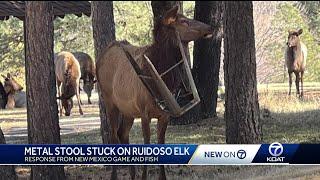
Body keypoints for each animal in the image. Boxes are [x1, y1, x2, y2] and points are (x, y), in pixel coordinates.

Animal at [96, 6, 214, 180]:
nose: (210, 27)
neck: (165, 78)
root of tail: (99, 60)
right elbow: (147, 144)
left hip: (128, 111)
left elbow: (161, 144)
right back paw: (115, 176)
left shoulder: (164, 115)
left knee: (123, 133)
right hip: (109, 102)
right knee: (113, 135)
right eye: (183, 21)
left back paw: (132, 175)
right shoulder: (144, 113)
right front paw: (144, 176)